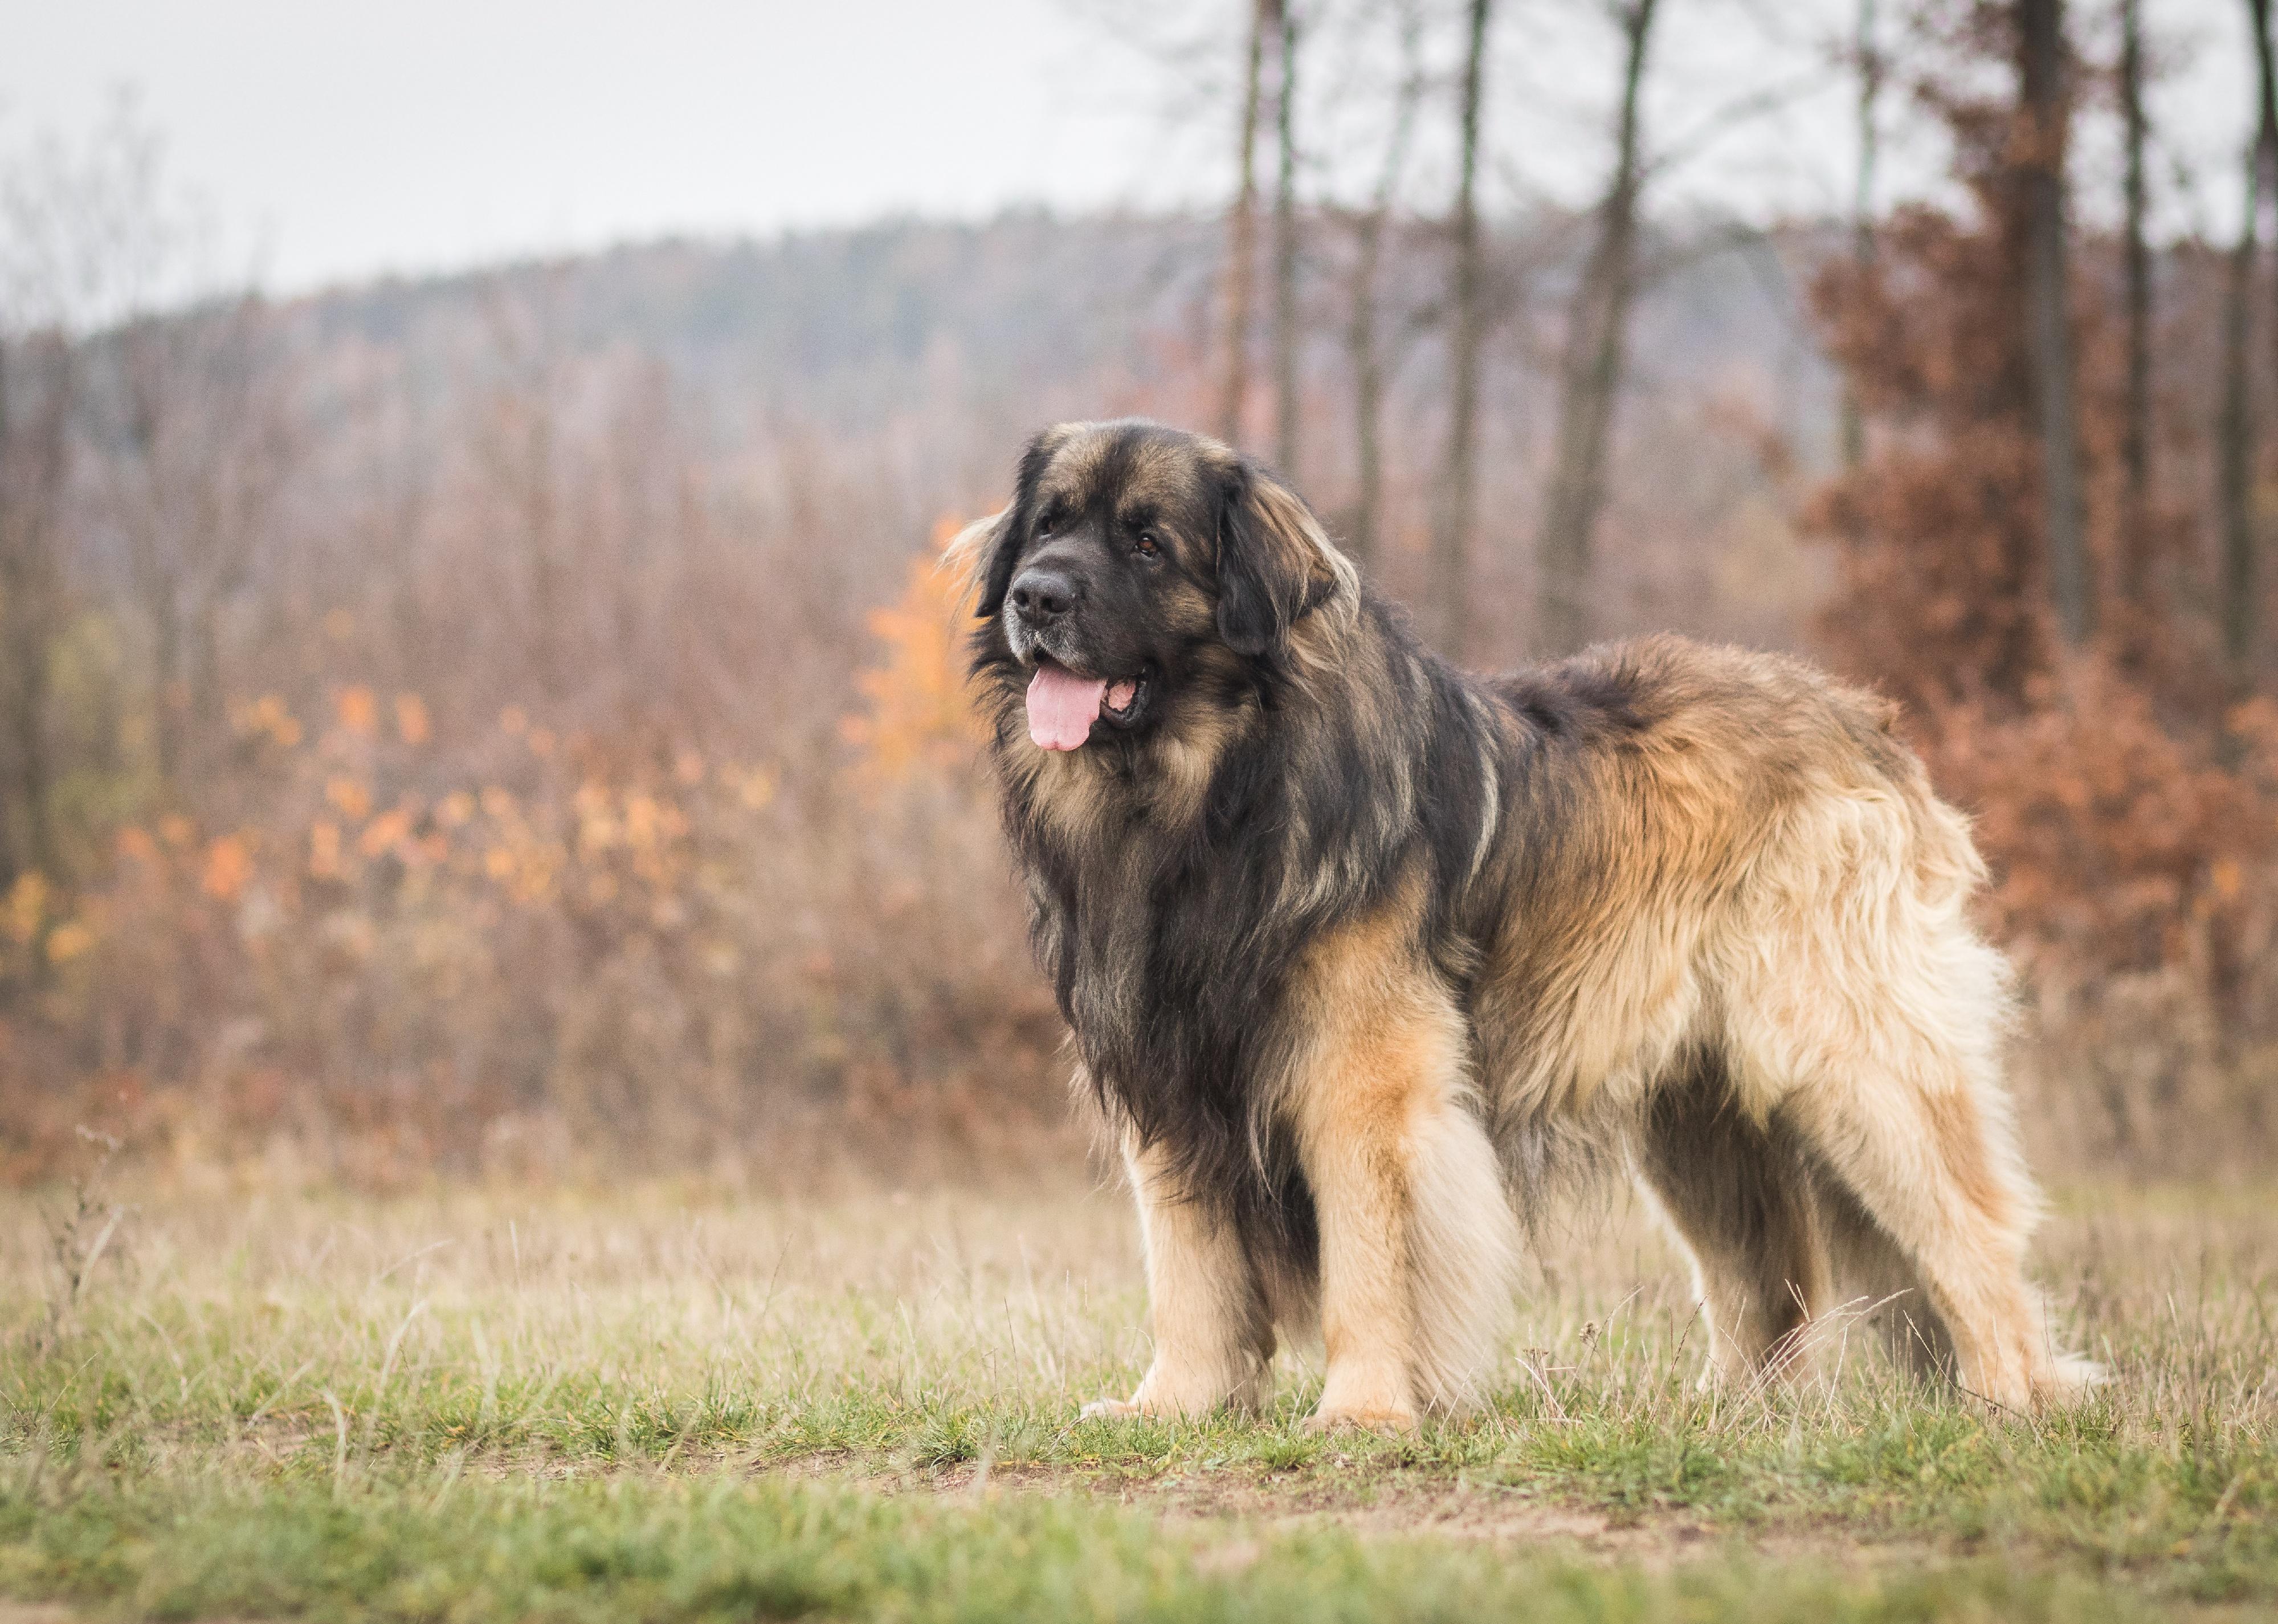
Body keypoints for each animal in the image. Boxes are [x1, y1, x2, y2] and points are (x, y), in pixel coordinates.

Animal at [952, 421, 2087, 1430]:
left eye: (1148, 543)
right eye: (1048, 525)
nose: (1036, 596)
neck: (1211, 795)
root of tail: (1864, 720)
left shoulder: (1364, 1081)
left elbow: (1368, 1258)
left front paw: (1363, 1411)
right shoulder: (1168, 1080)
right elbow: (1188, 1270)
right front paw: (1173, 1406)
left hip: (1852, 1061)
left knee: (1965, 1233)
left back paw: (2007, 1399)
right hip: (1698, 1116)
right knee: (1768, 1274)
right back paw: (1730, 1414)